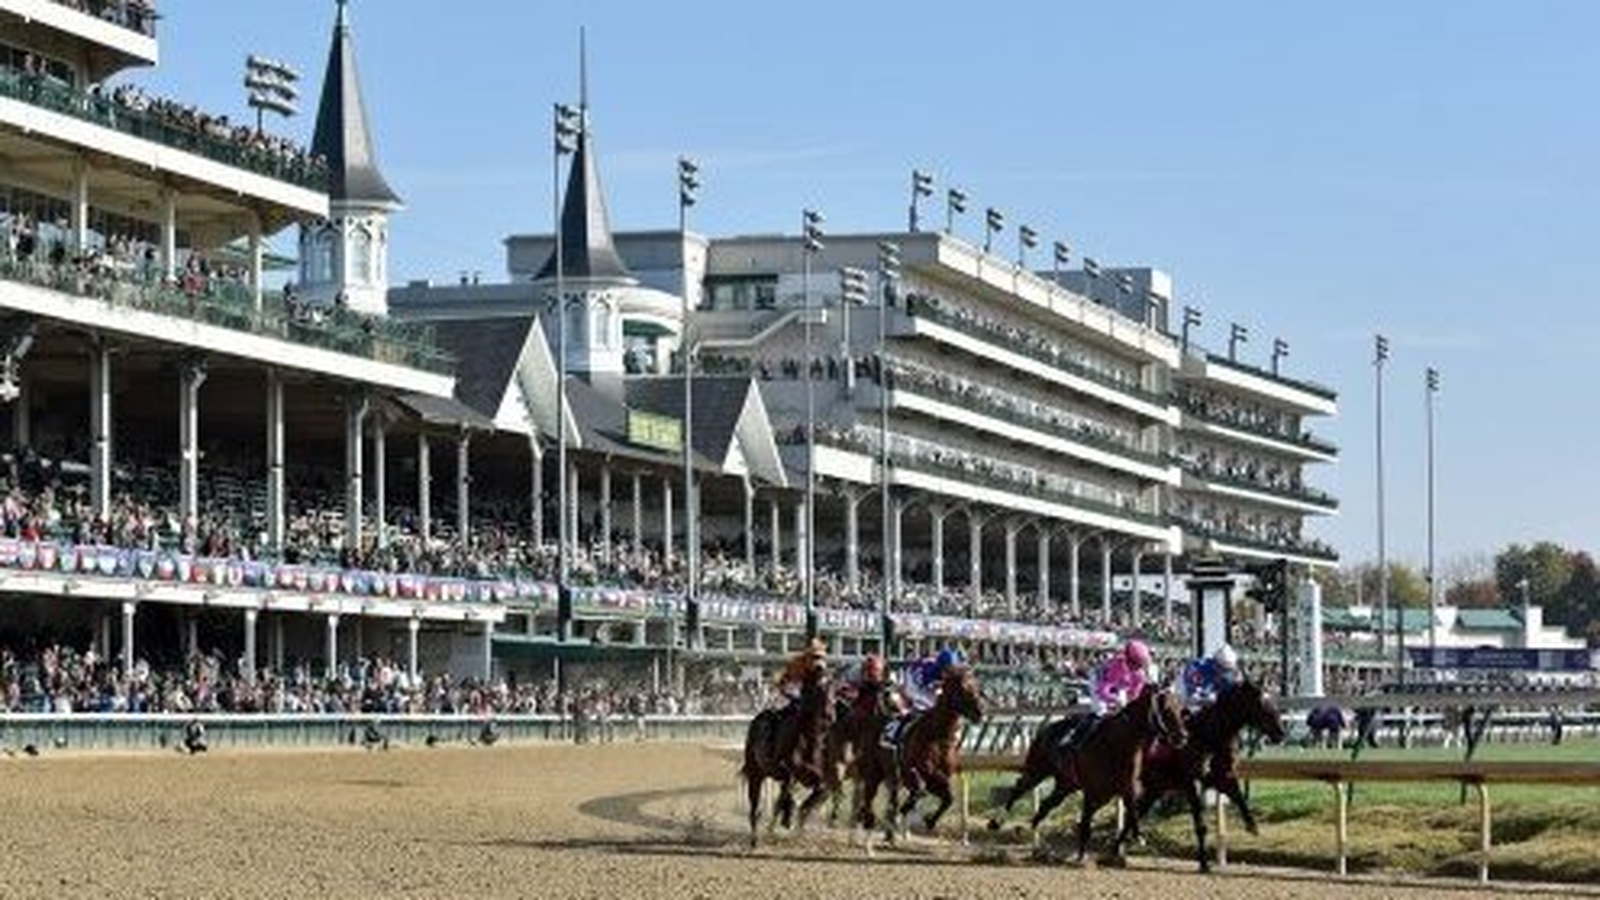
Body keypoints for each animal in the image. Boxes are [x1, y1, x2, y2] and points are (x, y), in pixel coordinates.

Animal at [857, 662, 979, 839]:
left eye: (976, 685)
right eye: (962, 687)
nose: (979, 712)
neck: (937, 735)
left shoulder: (939, 776)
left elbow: (948, 798)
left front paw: (929, 820)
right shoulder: (921, 773)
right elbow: (921, 791)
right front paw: (914, 814)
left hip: (892, 775)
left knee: (893, 798)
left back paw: (890, 832)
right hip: (874, 772)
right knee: (869, 797)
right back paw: (869, 820)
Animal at [1132, 679, 1280, 871]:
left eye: (1274, 699)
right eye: (1261, 703)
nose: (1280, 733)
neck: (1207, 738)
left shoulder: (1220, 777)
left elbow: (1239, 796)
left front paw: (1252, 825)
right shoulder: (1190, 783)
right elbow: (1200, 825)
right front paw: (1203, 863)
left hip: (1154, 788)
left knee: (1135, 813)